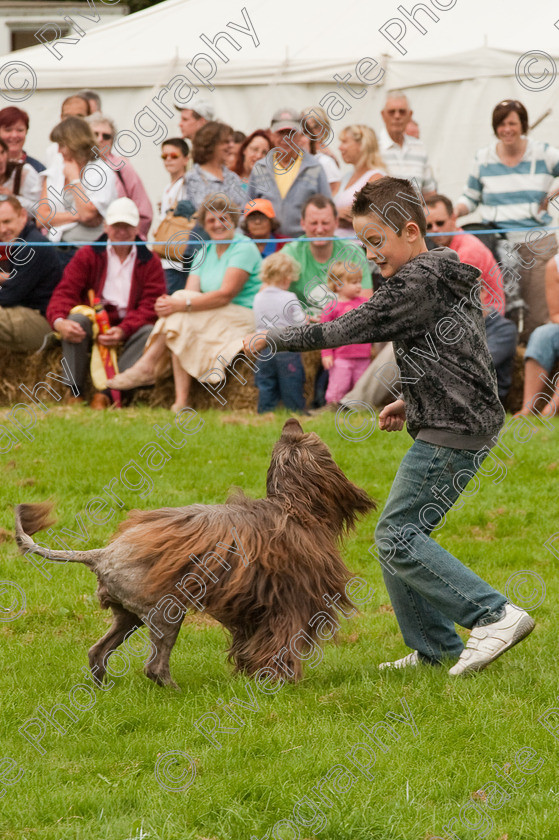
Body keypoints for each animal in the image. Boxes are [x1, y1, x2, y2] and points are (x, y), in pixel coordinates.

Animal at [14, 418, 376, 688]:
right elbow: (281, 644)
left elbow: (254, 645)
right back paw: (175, 690)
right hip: (166, 613)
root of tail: (102, 553)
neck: (293, 507)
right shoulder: (290, 605)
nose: (292, 422)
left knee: (97, 652)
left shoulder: (256, 610)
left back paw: (102, 687)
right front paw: (280, 681)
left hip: (129, 616)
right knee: (154, 667)